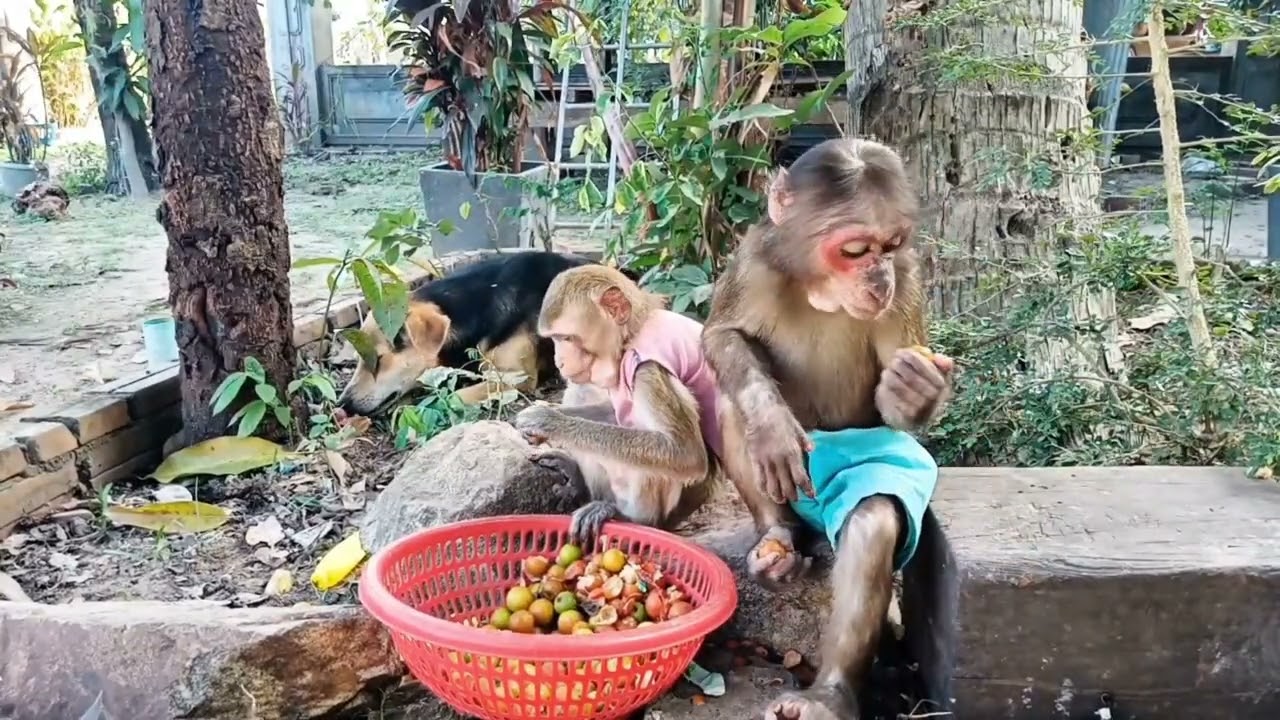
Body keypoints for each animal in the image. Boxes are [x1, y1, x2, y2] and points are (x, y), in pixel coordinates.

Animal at [512, 265, 724, 547]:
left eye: (566, 338)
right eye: (554, 339)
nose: (559, 361)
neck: (631, 336)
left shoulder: (648, 371)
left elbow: (685, 453)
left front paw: (548, 421)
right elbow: (612, 412)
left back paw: (629, 518)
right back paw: (581, 487)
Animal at [701, 137, 960, 719]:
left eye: (891, 245)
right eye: (856, 250)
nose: (879, 279)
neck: (822, 288)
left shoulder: (908, 281)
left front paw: (914, 389)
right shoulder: (753, 258)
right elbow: (723, 338)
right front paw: (771, 424)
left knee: (873, 519)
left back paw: (829, 694)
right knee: (732, 400)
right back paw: (777, 538)